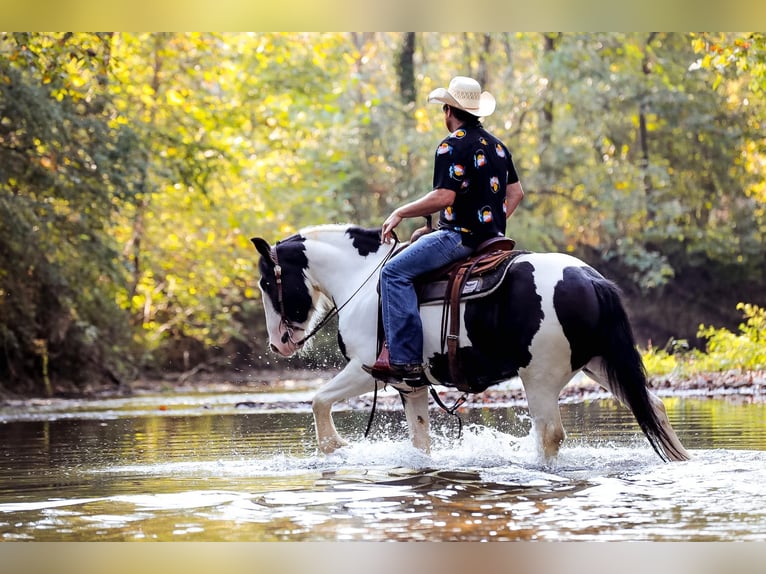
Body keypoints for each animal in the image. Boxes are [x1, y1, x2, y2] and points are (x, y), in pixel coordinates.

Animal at [250, 223, 689, 463]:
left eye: (267, 282)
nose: (278, 345)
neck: (364, 278)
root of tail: (591, 279)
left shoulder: (363, 368)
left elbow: (318, 400)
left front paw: (335, 447)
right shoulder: (412, 386)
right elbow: (420, 443)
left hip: (541, 378)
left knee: (549, 434)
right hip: (600, 364)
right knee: (654, 406)